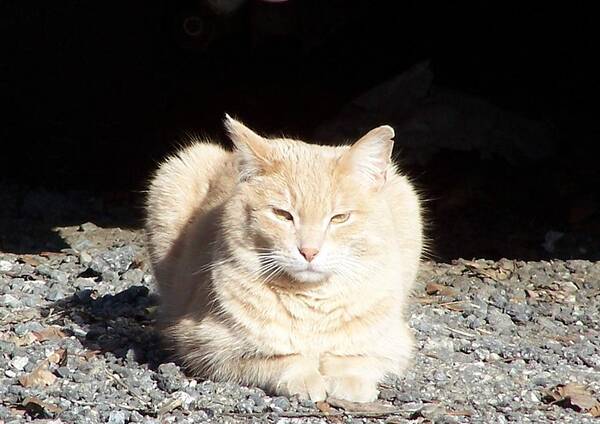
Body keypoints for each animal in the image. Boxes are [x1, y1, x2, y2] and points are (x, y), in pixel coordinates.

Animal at [144, 115, 422, 400]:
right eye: (283, 215)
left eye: (339, 218)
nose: (309, 251)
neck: (311, 305)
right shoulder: (204, 343)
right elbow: (281, 358)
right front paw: (305, 378)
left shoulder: (393, 341)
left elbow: (353, 356)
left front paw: (349, 381)